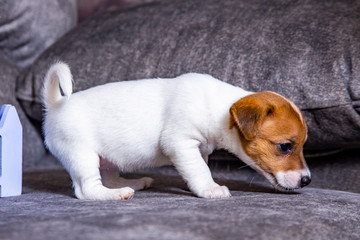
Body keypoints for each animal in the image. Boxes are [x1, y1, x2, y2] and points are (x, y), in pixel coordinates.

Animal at [42, 62, 310, 201]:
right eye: (285, 146)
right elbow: (200, 170)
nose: (307, 180)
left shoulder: (199, 149)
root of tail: (55, 106)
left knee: (108, 175)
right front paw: (211, 189)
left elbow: (197, 168)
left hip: (104, 159)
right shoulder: (181, 142)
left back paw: (132, 183)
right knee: (86, 189)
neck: (219, 108)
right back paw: (116, 194)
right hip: (82, 155)